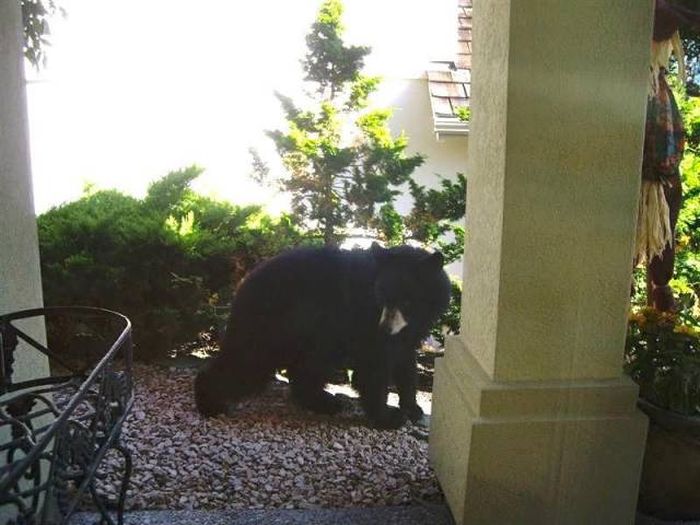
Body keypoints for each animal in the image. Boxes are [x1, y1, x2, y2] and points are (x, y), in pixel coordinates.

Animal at [194, 244, 452, 428]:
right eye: (381, 297)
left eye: (407, 301)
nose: (385, 329)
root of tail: (243, 284)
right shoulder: (365, 322)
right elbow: (374, 366)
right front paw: (388, 417)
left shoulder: (409, 330)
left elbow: (406, 363)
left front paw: (412, 407)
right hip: (277, 327)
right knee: (248, 363)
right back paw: (209, 402)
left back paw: (322, 401)